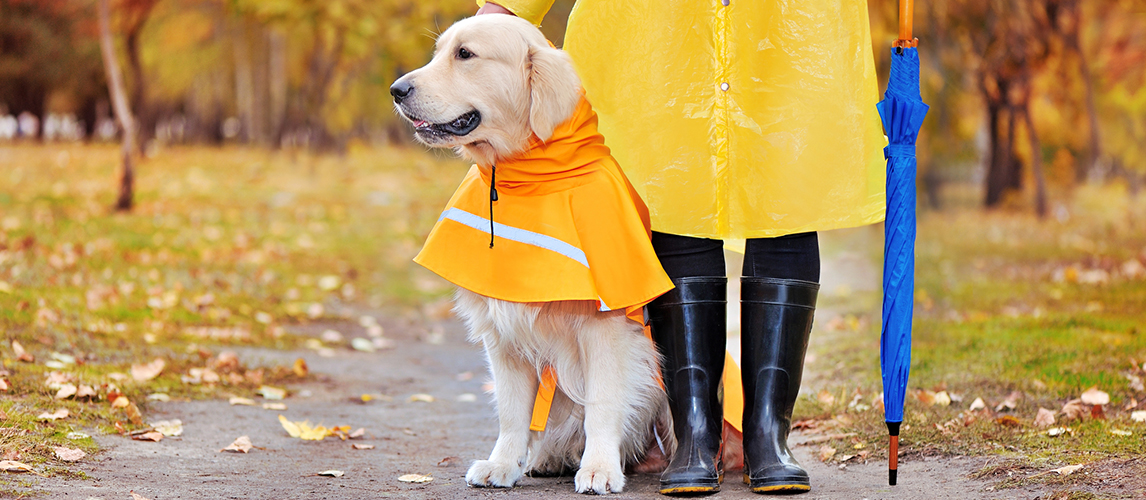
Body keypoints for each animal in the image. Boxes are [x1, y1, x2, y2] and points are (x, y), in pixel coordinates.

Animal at [389, 15, 669, 495]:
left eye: (465, 54)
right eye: (438, 51)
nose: (396, 89)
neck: (527, 179)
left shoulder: (607, 329)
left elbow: (603, 402)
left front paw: (599, 468)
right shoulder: (502, 332)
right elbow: (511, 408)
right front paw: (502, 463)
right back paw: (549, 458)